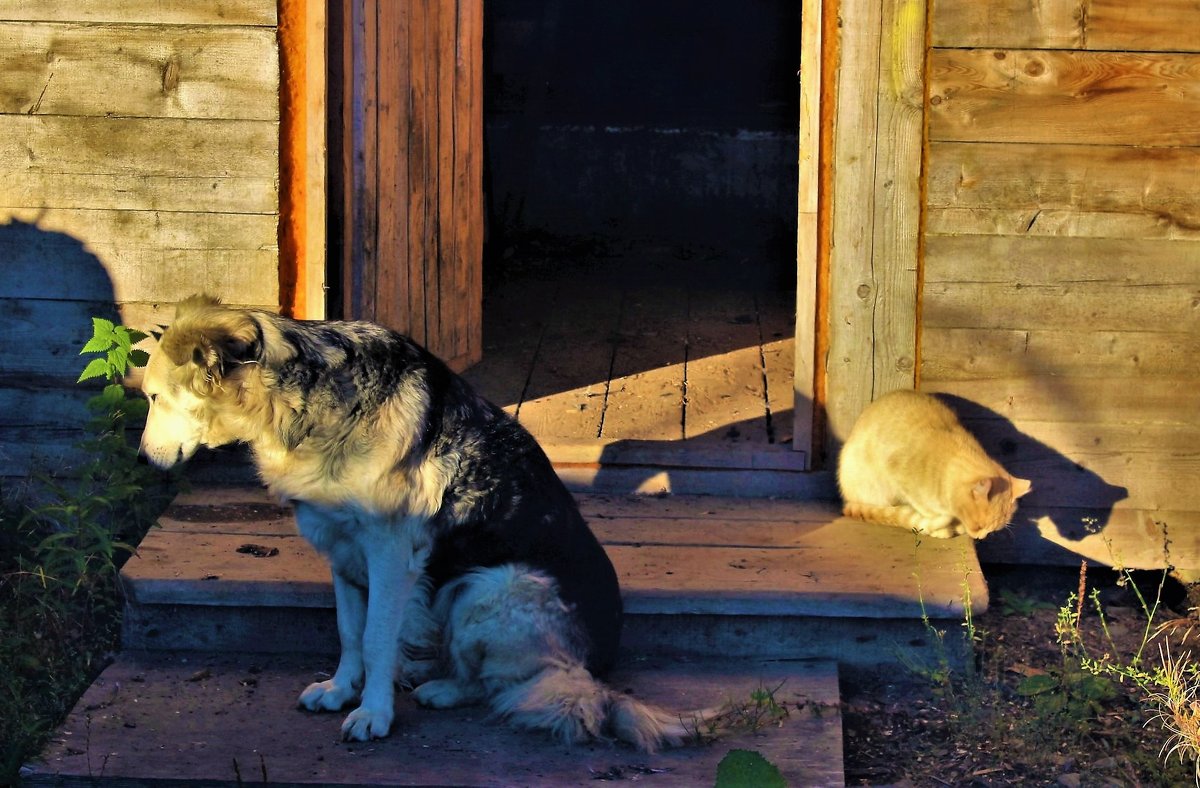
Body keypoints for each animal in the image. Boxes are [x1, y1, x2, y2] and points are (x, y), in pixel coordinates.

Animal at [835, 391, 1032, 537]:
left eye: (992, 530)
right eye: (978, 526)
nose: (979, 538)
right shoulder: (900, 476)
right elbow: (923, 511)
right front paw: (944, 528)